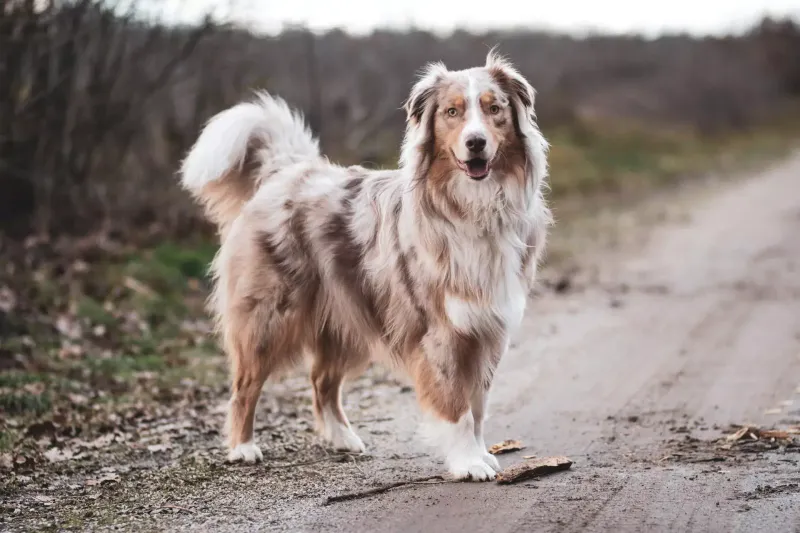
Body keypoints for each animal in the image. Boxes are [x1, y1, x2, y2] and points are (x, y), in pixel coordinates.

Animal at [180, 51, 552, 482]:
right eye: (452, 112)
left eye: (495, 109)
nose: (476, 143)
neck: (474, 206)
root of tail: (286, 171)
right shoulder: (442, 332)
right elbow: (457, 407)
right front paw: (468, 463)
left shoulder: (487, 330)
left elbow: (477, 406)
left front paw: (481, 454)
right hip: (269, 317)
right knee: (245, 385)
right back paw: (242, 447)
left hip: (347, 315)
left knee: (321, 380)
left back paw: (342, 438)